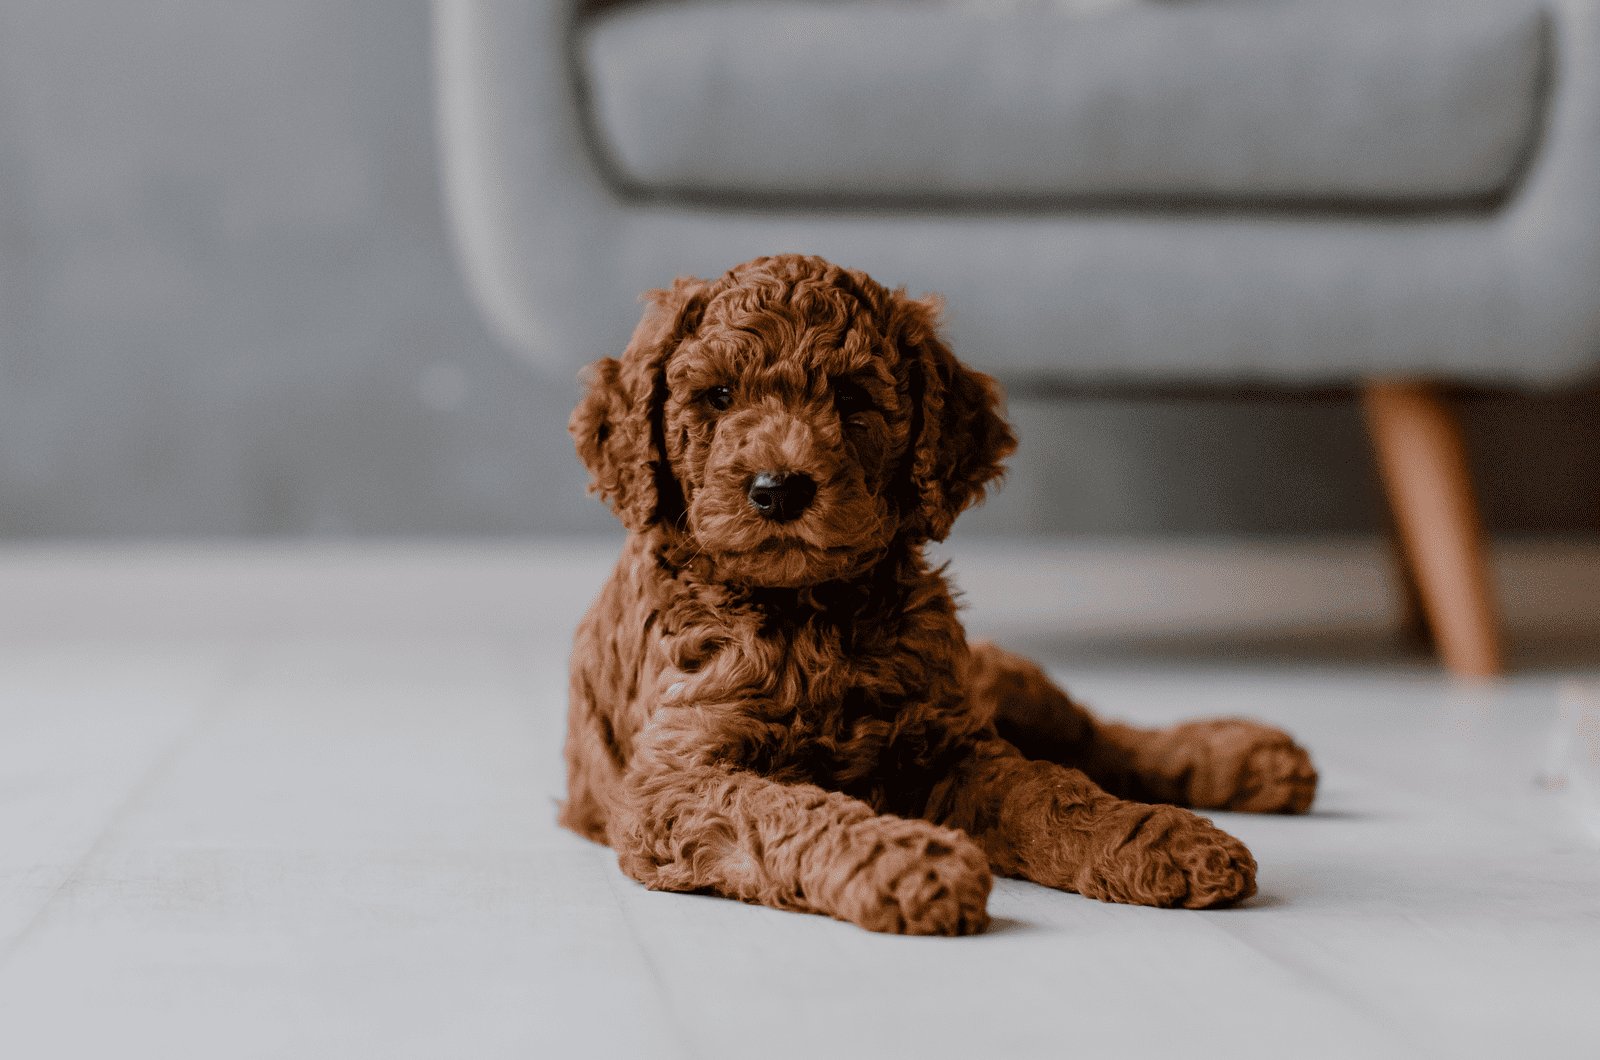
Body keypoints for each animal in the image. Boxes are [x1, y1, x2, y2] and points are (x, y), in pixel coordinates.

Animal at [563, 256, 1312, 941]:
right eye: (718, 395)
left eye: (853, 400)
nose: (779, 489)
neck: (811, 611)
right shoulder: (674, 779)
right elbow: (787, 810)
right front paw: (908, 862)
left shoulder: (952, 744)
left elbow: (1050, 792)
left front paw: (1159, 838)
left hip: (988, 685)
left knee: (1096, 738)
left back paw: (1251, 760)